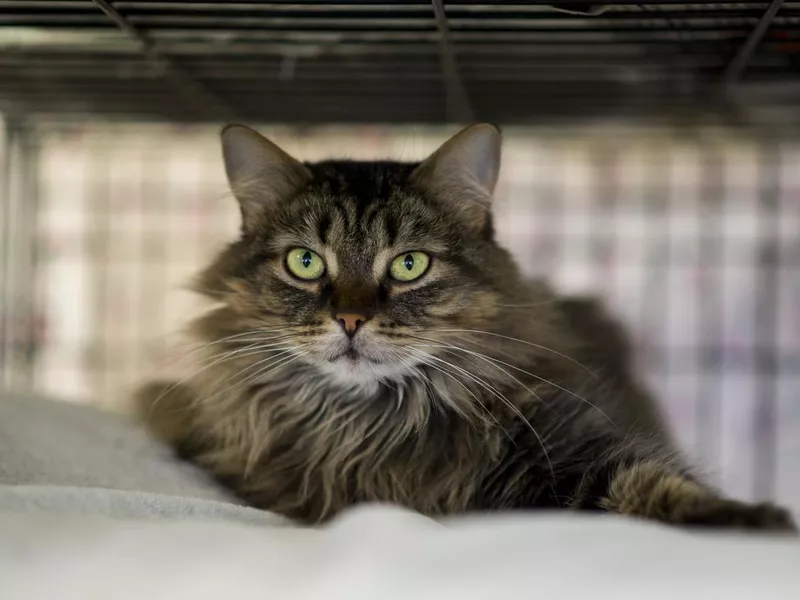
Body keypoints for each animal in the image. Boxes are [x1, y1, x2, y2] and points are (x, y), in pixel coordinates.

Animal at [136, 124, 792, 532]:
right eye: (305, 263)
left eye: (409, 265)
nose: (350, 318)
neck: (377, 419)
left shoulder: (579, 448)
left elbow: (654, 485)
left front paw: (748, 520)